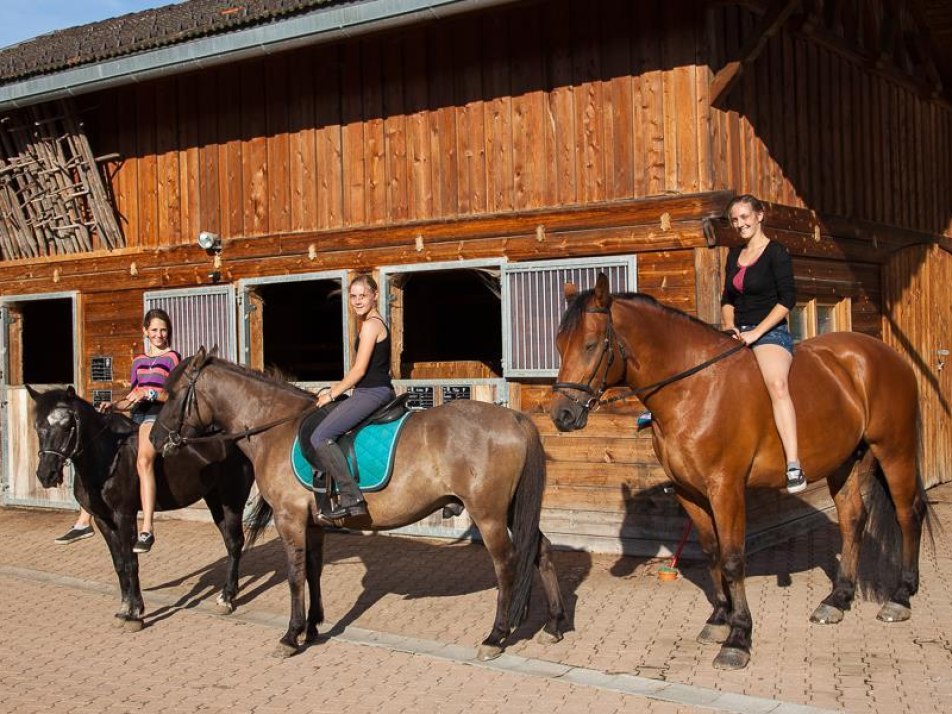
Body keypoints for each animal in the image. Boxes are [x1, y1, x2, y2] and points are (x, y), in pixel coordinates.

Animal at [29, 384, 260, 628]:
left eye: (67, 426)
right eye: (38, 426)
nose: (46, 474)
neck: (108, 457)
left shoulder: (124, 516)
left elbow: (131, 562)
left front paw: (135, 614)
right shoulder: (104, 520)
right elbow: (119, 564)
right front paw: (124, 608)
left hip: (232, 500)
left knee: (235, 543)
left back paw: (227, 598)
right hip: (215, 500)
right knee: (230, 542)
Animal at [150, 348, 564, 660]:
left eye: (174, 394)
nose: (155, 439)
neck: (276, 427)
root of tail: (512, 417)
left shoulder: (289, 519)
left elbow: (294, 575)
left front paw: (291, 635)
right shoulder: (313, 523)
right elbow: (313, 571)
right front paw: (313, 627)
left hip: (489, 514)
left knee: (506, 565)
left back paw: (496, 635)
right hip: (511, 510)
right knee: (541, 551)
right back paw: (554, 625)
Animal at [552, 272, 928, 668]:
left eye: (591, 345)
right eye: (560, 344)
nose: (562, 415)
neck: (694, 388)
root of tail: (885, 355)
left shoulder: (725, 488)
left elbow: (733, 559)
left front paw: (738, 637)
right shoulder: (689, 492)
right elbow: (712, 552)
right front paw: (720, 618)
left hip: (894, 450)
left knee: (908, 514)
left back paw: (900, 597)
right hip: (843, 462)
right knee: (853, 519)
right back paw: (837, 599)